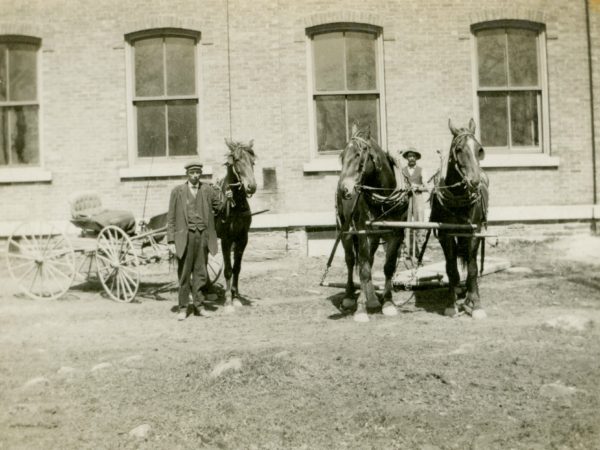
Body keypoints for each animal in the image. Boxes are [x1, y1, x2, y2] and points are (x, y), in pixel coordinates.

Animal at [336, 121, 410, 322]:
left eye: (358, 155)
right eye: (342, 156)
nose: (343, 189)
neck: (384, 198)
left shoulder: (396, 234)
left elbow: (388, 267)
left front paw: (388, 302)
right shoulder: (362, 232)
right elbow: (363, 270)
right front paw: (361, 308)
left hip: (376, 237)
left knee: (368, 259)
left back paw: (372, 298)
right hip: (346, 231)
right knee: (352, 260)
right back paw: (350, 297)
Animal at [428, 118, 490, 318]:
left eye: (479, 149)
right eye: (459, 149)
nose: (475, 182)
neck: (458, 198)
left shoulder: (473, 233)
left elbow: (472, 268)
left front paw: (475, 304)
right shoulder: (445, 235)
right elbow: (451, 268)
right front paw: (451, 303)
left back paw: (470, 295)